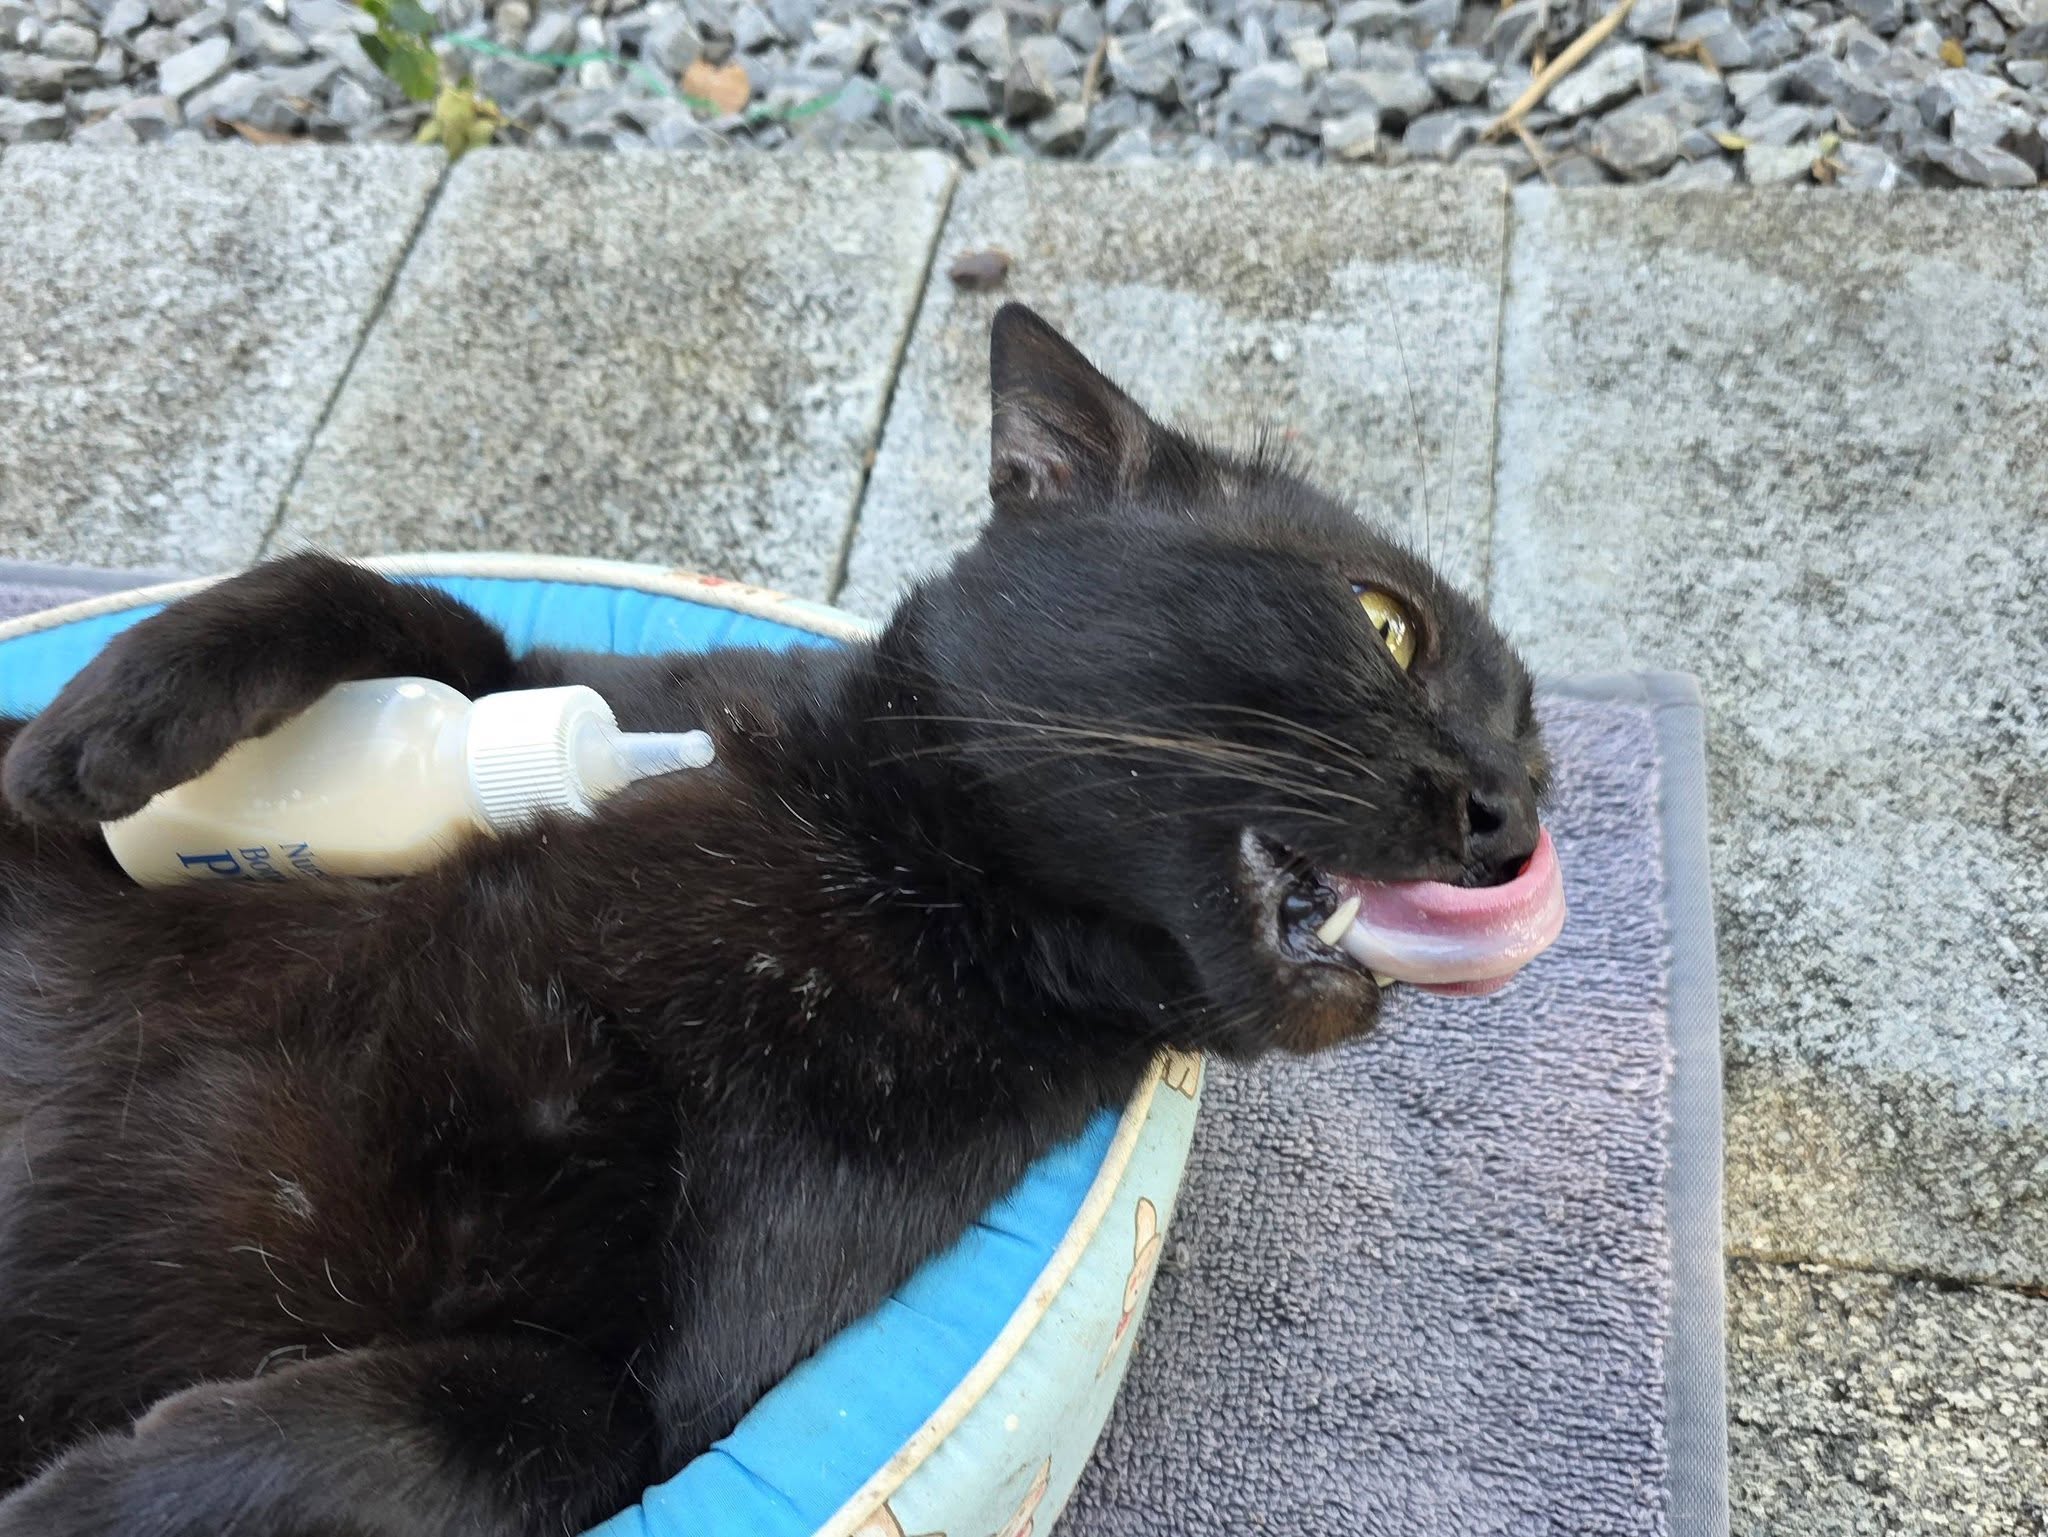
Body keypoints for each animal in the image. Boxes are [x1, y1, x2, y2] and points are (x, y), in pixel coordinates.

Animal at [0, 304, 1547, 1537]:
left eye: (1538, 754)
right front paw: (104, 718)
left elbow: (491, 1434)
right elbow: (388, 598)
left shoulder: (652, 1391)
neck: (898, 865)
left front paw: (78, 1507)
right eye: (1384, 622)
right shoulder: (562, 696)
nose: (1513, 815)